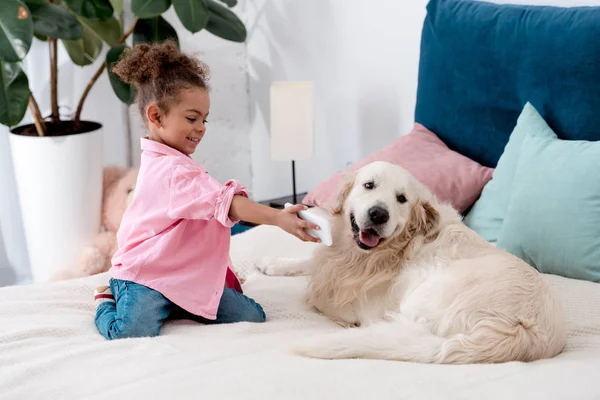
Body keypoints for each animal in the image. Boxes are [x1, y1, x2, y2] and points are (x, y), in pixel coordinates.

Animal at [258, 161, 568, 364]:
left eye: (401, 199)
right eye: (369, 185)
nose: (378, 214)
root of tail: (518, 332)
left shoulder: (356, 302)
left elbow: (317, 290)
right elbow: (314, 262)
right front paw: (274, 263)